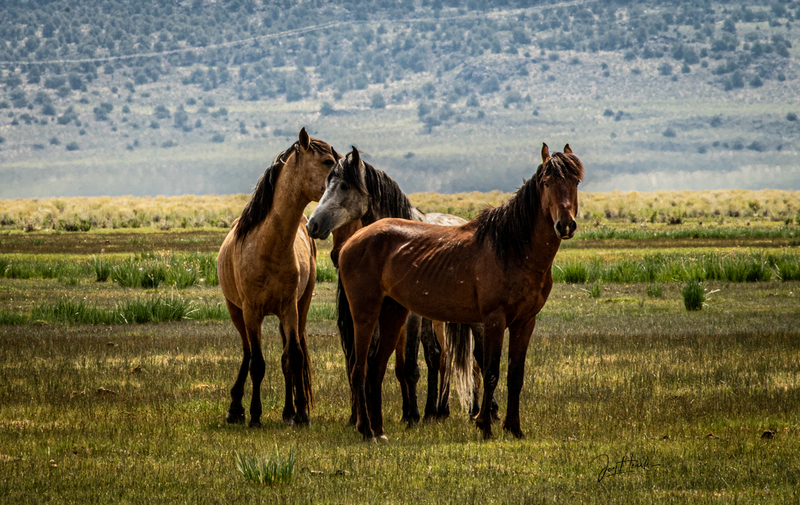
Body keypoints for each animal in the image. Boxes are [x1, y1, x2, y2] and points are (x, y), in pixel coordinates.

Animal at [217, 128, 340, 428]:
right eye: (327, 162)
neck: (268, 245)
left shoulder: (289, 308)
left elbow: (293, 358)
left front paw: (301, 413)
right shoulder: (251, 311)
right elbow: (257, 363)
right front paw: (254, 415)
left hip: (299, 308)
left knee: (286, 356)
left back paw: (288, 411)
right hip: (236, 311)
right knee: (247, 352)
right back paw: (235, 408)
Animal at [306, 147, 495, 426]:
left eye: (343, 185)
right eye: (326, 184)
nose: (313, 225)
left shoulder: (411, 316)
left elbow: (410, 367)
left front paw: (412, 414)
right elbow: (374, 360)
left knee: (475, 358)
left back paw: (482, 410)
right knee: (441, 356)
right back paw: (437, 411)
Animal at [337, 143, 583, 440]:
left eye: (575, 182)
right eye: (546, 183)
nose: (565, 224)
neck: (512, 249)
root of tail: (351, 242)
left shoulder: (525, 322)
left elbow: (515, 376)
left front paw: (514, 428)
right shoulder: (494, 319)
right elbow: (491, 372)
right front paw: (485, 425)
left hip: (393, 314)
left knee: (375, 368)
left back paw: (378, 430)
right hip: (365, 314)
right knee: (359, 369)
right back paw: (365, 429)